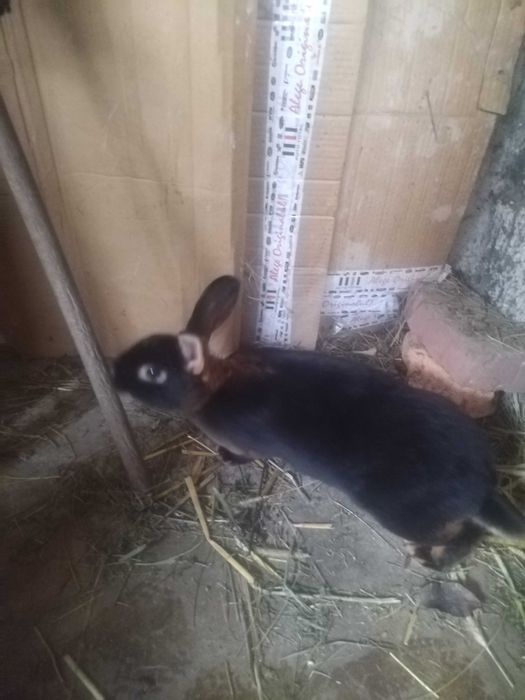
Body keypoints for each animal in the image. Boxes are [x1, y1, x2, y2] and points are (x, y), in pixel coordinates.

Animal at [114, 275, 525, 569]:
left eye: (151, 372)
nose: (114, 371)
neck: (213, 387)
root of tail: (480, 485)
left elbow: (245, 454)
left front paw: (227, 457)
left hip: (404, 514)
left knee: (459, 535)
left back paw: (429, 559)